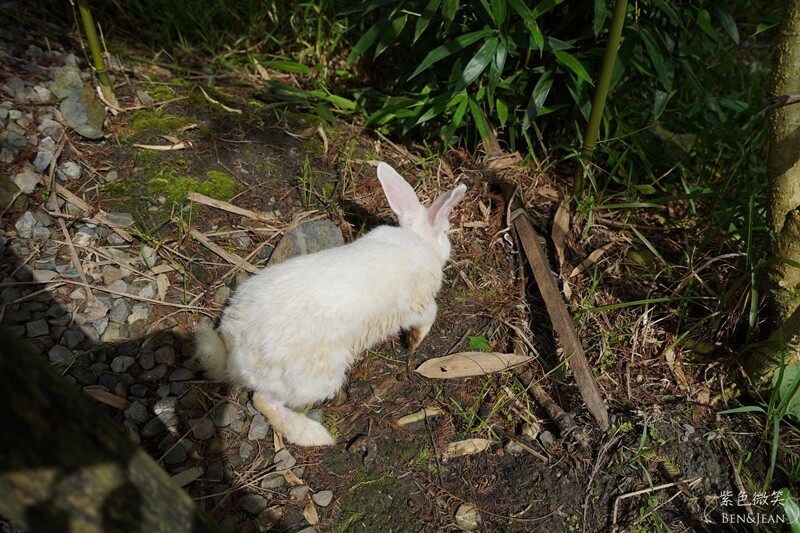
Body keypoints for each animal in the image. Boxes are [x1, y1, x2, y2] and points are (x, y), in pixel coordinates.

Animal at [194, 162, 467, 446]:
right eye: (445, 231)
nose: (449, 246)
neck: (420, 240)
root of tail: (236, 349)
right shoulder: (417, 304)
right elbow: (429, 316)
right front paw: (414, 342)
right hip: (318, 379)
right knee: (264, 400)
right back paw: (314, 435)